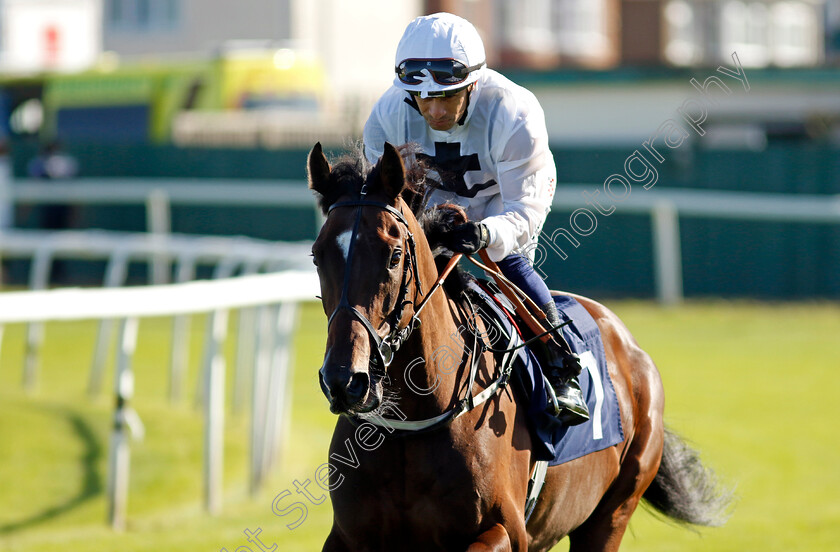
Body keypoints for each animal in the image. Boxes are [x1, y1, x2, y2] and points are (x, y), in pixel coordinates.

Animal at [306, 143, 728, 552]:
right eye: (317, 254)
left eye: (394, 255)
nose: (345, 380)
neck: (413, 423)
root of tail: (628, 343)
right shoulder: (347, 537)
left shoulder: (506, 531)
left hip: (614, 511)